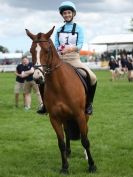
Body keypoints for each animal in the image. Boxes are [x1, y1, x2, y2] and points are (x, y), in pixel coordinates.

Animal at [25, 26, 96, 174]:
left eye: (47, 50)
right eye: (31, 50)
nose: (37, 78)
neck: (59, 85)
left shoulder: (79, 115)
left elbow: (85, 140)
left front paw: (92, 165)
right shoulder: (55, 118)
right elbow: (61, 143)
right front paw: (64, 167)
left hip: (84, 115)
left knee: (84, 133)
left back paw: (86, 156)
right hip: (65, 117)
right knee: (67, 132)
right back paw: (68, 153)